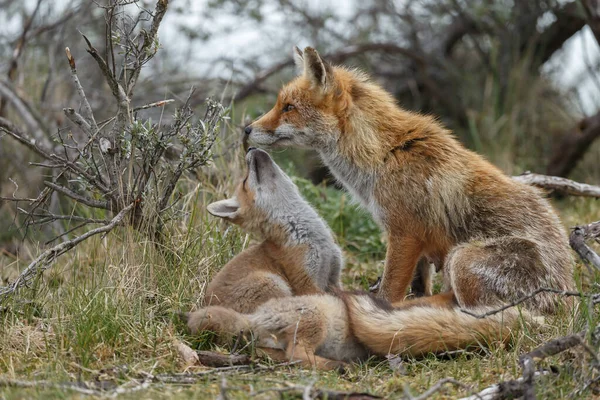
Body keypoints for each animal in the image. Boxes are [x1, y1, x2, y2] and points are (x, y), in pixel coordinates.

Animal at [246, 46, 576, 312]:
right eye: (279, 104)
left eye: (289, 108)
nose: (246, 129)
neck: (383, 155)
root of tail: (564, 297)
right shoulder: (416, 243)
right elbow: (419, 284)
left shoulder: (404, 234)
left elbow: (390, 291)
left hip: (461, 258)